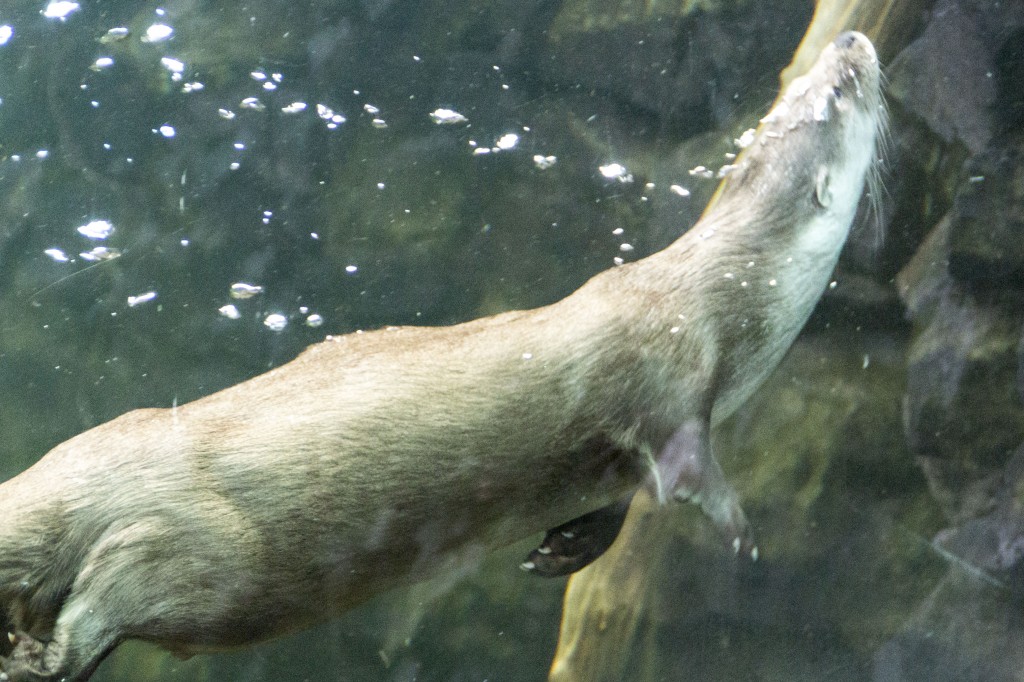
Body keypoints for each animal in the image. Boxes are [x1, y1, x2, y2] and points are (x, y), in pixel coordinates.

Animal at [0, 31, 883, 681]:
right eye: (835, 94)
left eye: (806, 85)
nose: (854, 40)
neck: (717, 297)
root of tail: (83, 477)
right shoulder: (667, 376)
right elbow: (689, 465)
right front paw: (740, 531)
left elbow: (614, 503)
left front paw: (563, 551)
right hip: (196, 553)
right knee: (110, 597)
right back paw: (37, 657)